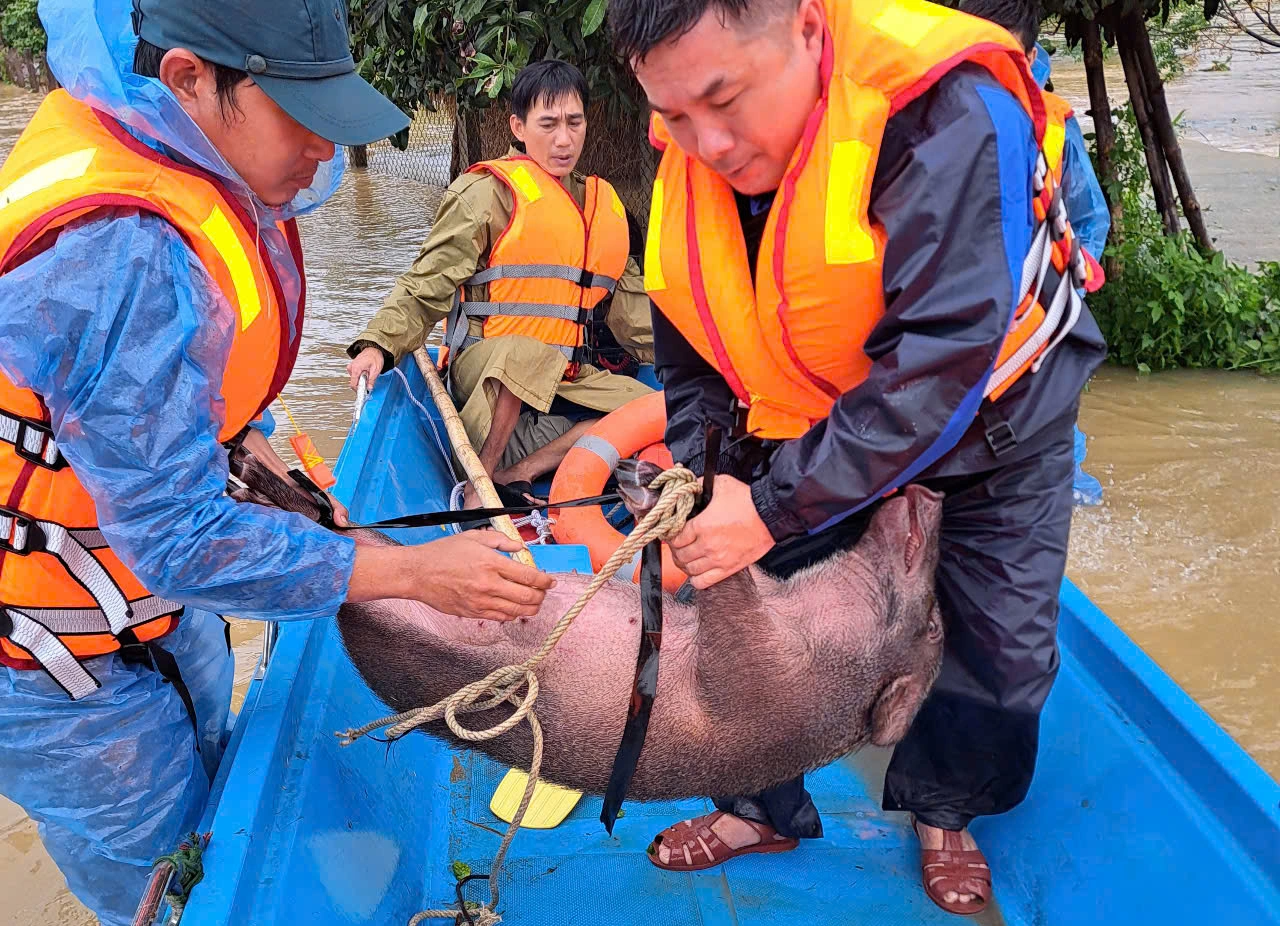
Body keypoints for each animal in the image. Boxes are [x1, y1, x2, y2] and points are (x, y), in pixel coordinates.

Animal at [225, 453, 947, 799]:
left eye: (938, 628)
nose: (931, 490)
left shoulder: (755, 678)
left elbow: (728, 588)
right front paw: (653, 482)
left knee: (332, 545)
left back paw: (253, 479)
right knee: (344, 537)